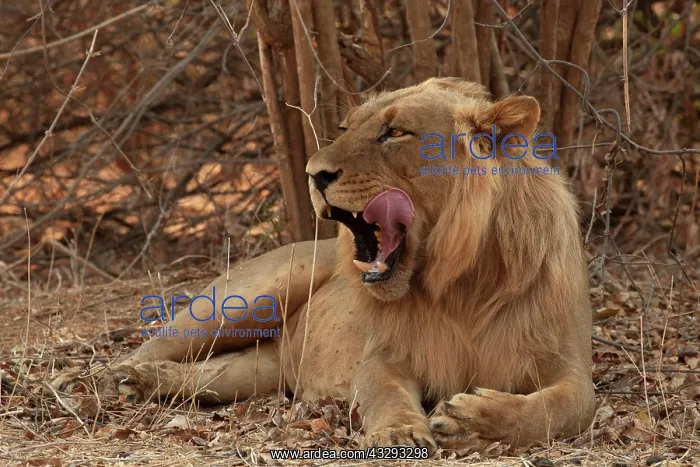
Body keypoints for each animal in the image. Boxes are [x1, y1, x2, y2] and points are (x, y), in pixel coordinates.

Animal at [51, 77, 595, 454]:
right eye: (347, 128)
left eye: (395, 132)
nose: (314, 173)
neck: (459, 281)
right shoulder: (384, 355)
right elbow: (384, 393)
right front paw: (400, 432)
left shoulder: (569, 366)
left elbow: (563, 408)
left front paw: (472, 421)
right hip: (245, 299)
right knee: (150, 346)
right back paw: (100, 382)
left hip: (261, 370)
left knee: (206, 377)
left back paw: (146, 383)